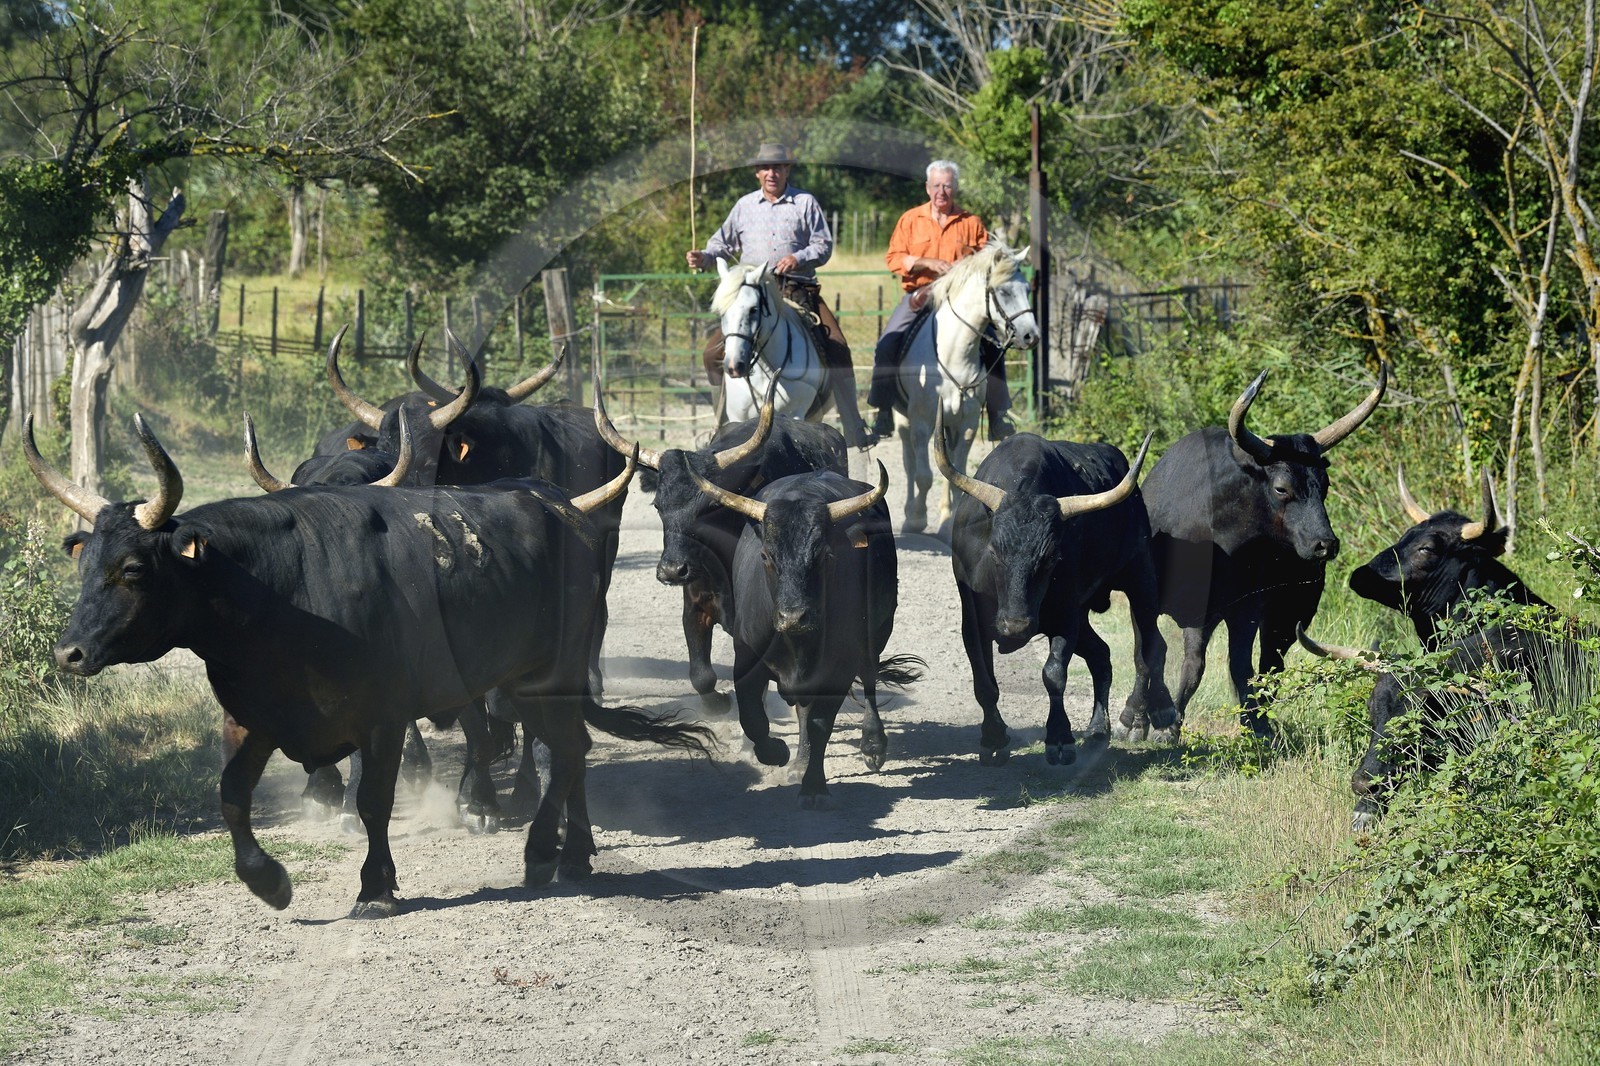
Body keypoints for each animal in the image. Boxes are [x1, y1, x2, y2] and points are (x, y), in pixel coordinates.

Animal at [27, 413, 710, 916]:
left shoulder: (382, 718)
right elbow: (232, 796)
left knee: (566, 750)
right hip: (521, 686)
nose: (70, 653)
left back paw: (544, 853)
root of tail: (562, 508)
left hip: (547, 678)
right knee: (574, 751)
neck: (278, 591)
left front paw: (375, 887)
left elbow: (374, 801)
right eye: (85, 564)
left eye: (132, 569)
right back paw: (574, 853)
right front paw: (269, 882)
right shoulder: (253, 717)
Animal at [591, 369, 850, 715]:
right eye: (658, 505)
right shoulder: (694, 605)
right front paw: (719, 702)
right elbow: (701, 675)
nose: (672, 570)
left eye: (710, 506)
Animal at [688, 462, 924, 806]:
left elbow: (820, 724)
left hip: (876, 633)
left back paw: (872, 744)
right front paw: (777, 753)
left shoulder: (838, 669)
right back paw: (798, 761)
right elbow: (753, 718)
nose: (793, 617)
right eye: (766, 556)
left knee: (868, 678)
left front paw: (814, 787)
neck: (797, 644)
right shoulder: (747, 659)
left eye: (823, 555)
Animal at [938, 416, 1171, 765]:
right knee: (1102, 654)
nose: (1015, 625)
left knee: (1150, 646)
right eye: (995, 552)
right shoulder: (973, 620)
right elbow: (984, 682)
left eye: (1049, 558)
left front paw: (1060, 738)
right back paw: (1097, 730)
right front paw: (993, 737)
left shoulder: (1065, 617)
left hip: (1140, 577)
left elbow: (1054, 674)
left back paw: (1150, 718)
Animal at [1135, 364, 1388, 739]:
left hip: (1289, 613)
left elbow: (1237, 667)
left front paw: (1251, 724)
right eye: (1282, 488)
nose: (1325, 544)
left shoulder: (1246, 610)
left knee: (1271, 664)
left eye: (1324, 485)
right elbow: (1169, 659)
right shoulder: (1177, 606)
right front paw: (1155, 722)